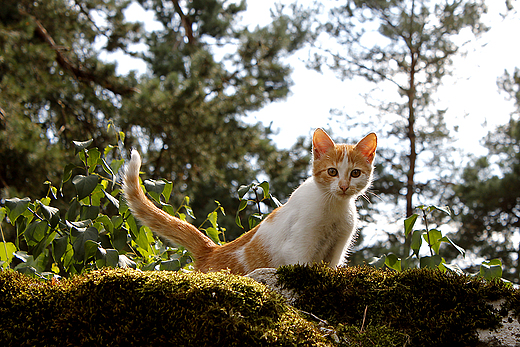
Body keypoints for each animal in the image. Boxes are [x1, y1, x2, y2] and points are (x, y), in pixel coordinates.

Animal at [123, 129, 374, 276]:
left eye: (355, 173)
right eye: (332, 172)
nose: (343, 186)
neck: (334, 207)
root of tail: (212, 250)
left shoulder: (337, 248)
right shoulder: (298, 247)